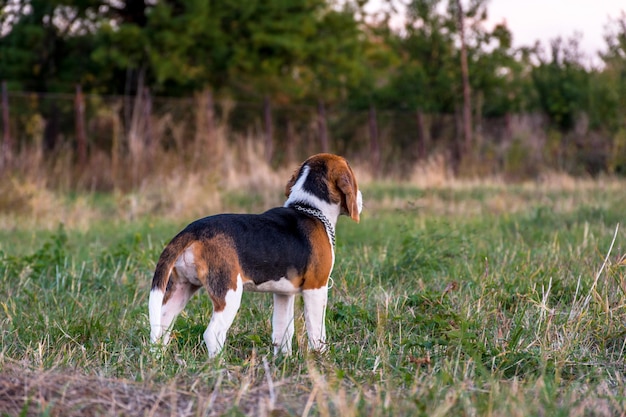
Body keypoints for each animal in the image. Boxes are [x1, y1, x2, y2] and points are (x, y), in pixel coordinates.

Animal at [148, 154, 360, 356]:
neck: (311, 208)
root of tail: (192, 230)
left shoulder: (283, 293)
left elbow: (282, 332)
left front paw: (283, 359)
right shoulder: (316, 288)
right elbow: (317, 332)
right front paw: (321, 358)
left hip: (181, 288)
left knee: (160, 328)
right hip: (229, 292)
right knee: (212, 333)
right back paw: (220, 364)